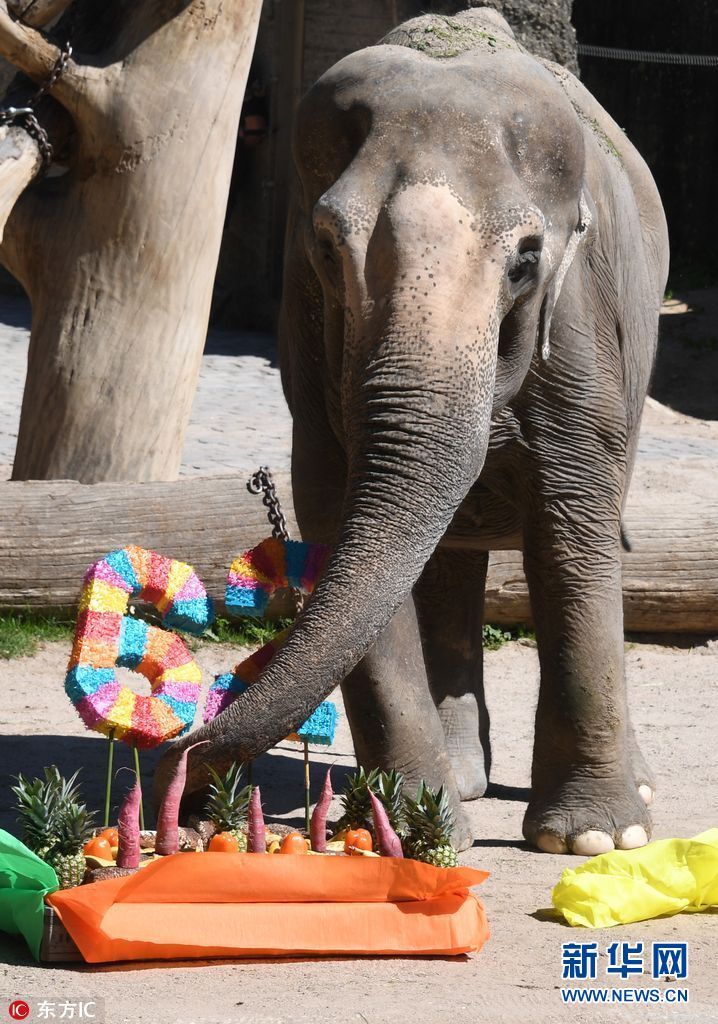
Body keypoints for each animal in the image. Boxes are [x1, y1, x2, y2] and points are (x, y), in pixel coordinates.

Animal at [155, 8, 667, 856]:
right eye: (329, 245)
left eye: (527, 261)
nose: (184, 781)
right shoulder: (307, 334)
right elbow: (337, 508)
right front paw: (418, 828)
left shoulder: (583, 324)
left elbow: (573, 518)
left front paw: (595, 839)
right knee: (446, 565)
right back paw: (462, 778)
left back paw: (635, 787)